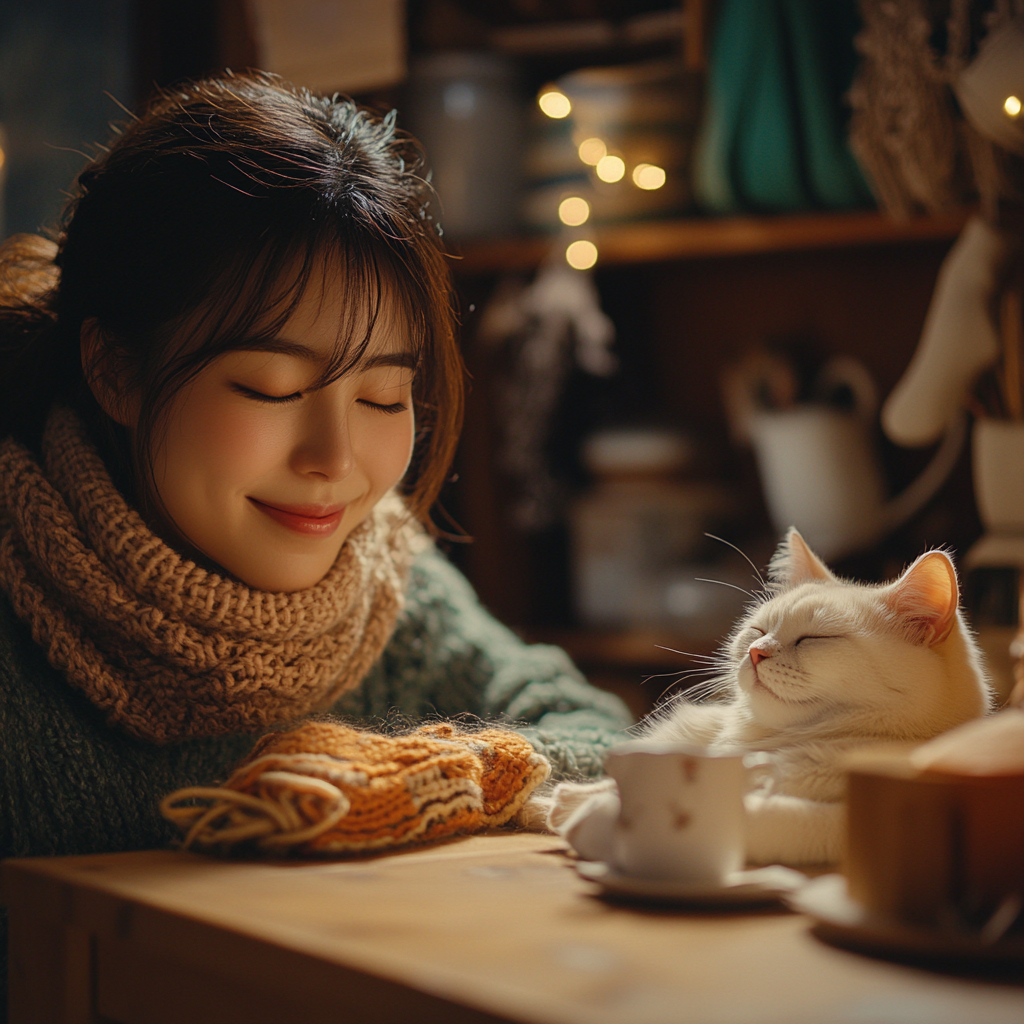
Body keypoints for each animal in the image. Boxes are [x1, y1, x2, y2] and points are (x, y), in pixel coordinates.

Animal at [552, 528, 991, 864]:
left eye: (814, 639)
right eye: (758, 629)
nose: (755, 651)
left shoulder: (843, 824)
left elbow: (763, 817)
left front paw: (594, 819)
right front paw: (568, 799)